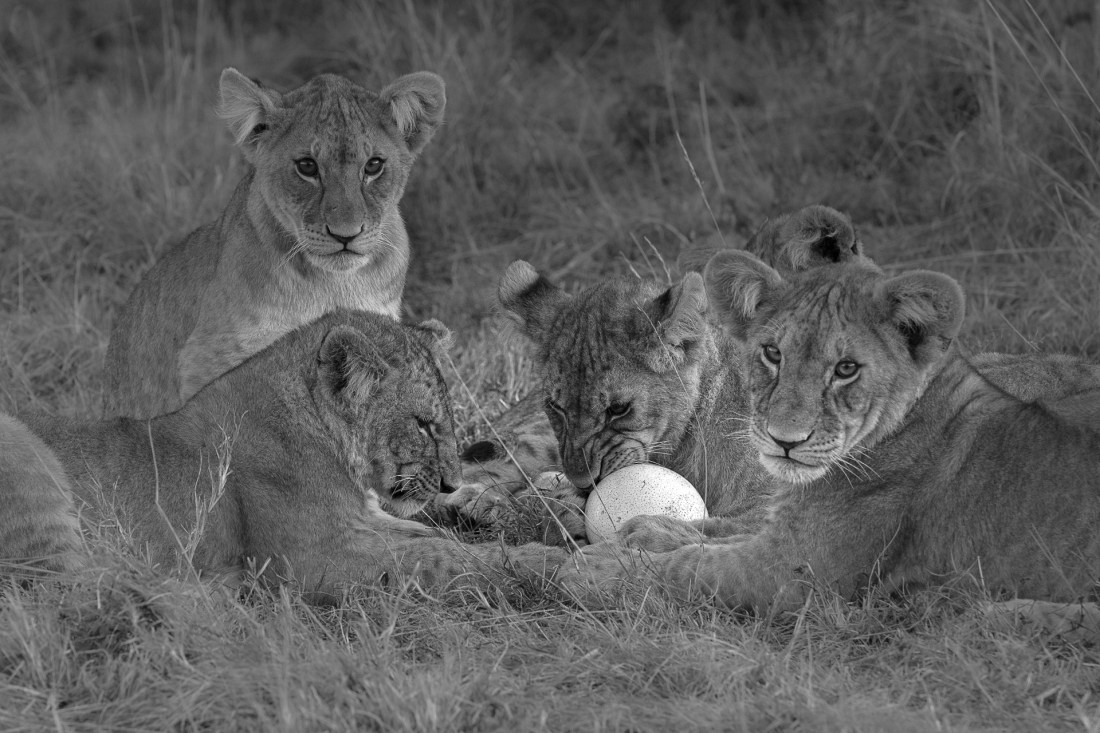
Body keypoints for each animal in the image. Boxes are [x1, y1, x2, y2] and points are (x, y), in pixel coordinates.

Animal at [2, 311, 567, 598]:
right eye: (423, 424)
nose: (450, 481)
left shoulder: (370, 519)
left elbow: (435, 536)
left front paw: (486, 510)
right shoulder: (313, 560)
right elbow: (448, 559)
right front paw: (560, 564)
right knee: (69, 593)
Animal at [561, 252, 1100, 621]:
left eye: (845, 369)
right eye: (772, 354)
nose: (784, 440)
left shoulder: (792, 576)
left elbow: (688, 571)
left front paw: (596, 569)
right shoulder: (782, 531)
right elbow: (717, 531)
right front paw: (647, 532)